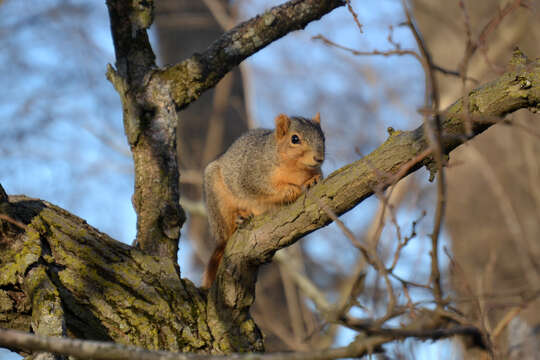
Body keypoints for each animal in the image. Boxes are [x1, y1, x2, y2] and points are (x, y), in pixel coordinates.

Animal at [200, 112, 322, 286]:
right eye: (295, 139)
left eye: (323, 137)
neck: (295, 169)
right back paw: (240, 216)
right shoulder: (252, 175)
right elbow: (263, 189)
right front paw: (290, 190)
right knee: (227, 230)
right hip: (217, 198)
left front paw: (312, 180)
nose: (319, 158)